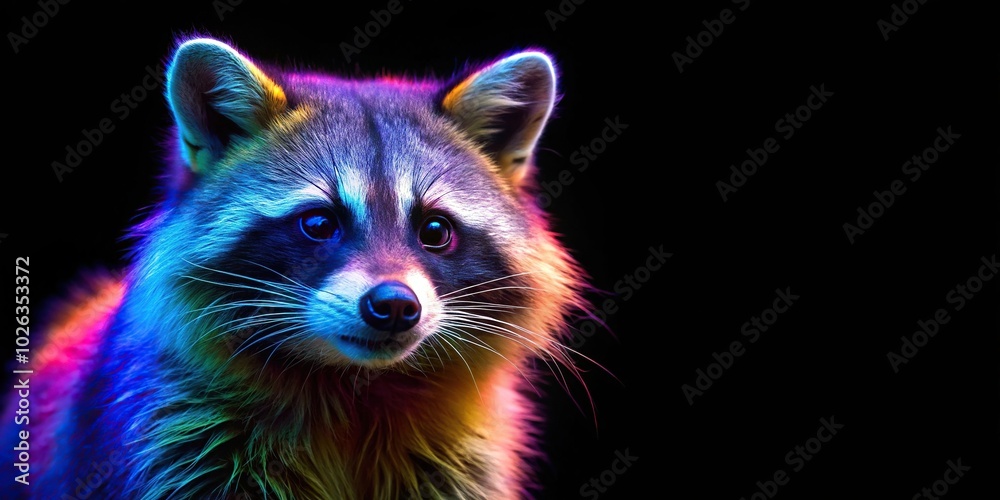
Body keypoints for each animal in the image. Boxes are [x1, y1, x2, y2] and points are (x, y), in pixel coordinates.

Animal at [3, 38, 589, 499]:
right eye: (319, 223)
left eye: (435, 231)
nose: (394, 306)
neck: (356, 385)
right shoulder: (169, 437)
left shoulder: (461, 464)